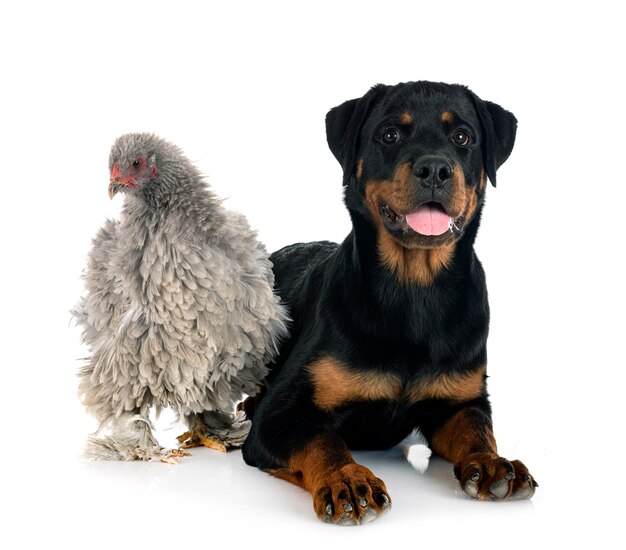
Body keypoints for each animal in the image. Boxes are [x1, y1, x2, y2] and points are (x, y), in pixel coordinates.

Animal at [241, 81, 532, 528]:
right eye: (390, 135)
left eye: (462, 137)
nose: (435, 168)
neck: (414, 291)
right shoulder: (280, 416)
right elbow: (322, 439)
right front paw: (346, 480)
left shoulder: (460, 400)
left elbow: (477, 429)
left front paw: (492, 462)